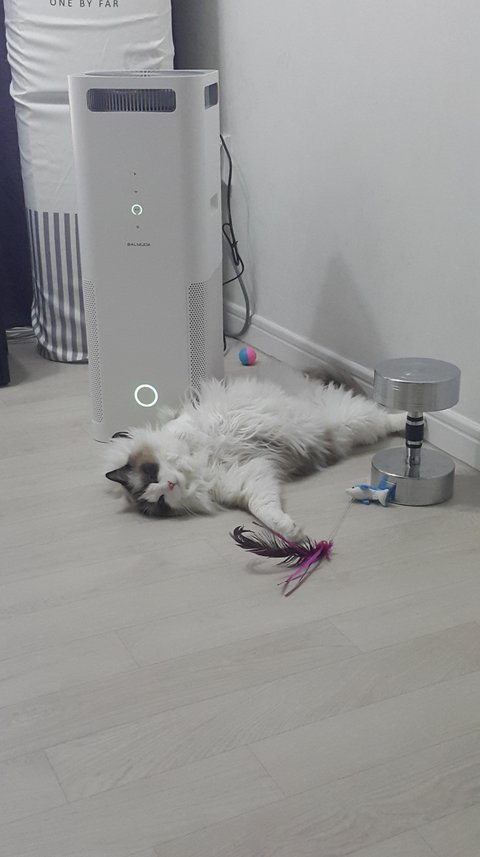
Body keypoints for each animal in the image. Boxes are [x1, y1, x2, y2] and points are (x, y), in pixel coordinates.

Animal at [105, 364, 403, 540]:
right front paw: (291, 532)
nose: (168, 484)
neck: (201, 469)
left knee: (387, 418)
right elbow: (265, 510)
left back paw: (410, 424)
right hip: (346, 426)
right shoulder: (249, 477)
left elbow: (184, 433)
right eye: (160, 501)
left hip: (351, 419)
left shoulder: (190, 429)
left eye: (152, 474)